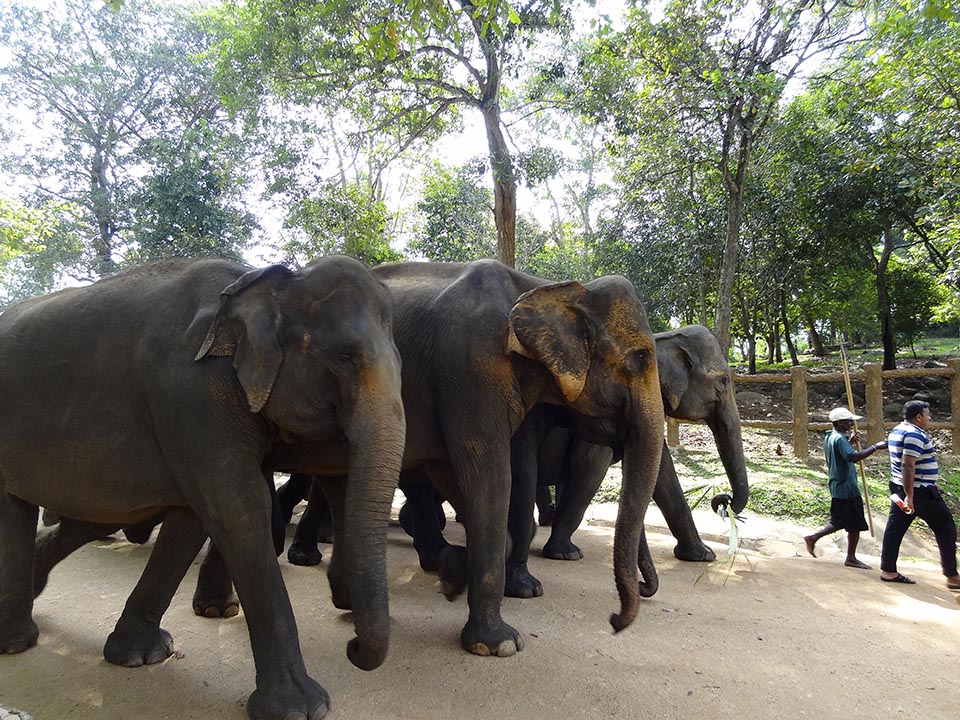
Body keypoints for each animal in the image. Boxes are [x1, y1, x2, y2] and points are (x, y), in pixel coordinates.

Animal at [0, 256, 406, 720]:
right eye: (344, 356)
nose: (352, 645)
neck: (262, 285)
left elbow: (192, 517)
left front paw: (138, 657)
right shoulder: (192, 393)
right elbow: (237, 508)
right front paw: (301, 708)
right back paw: (15, 640)